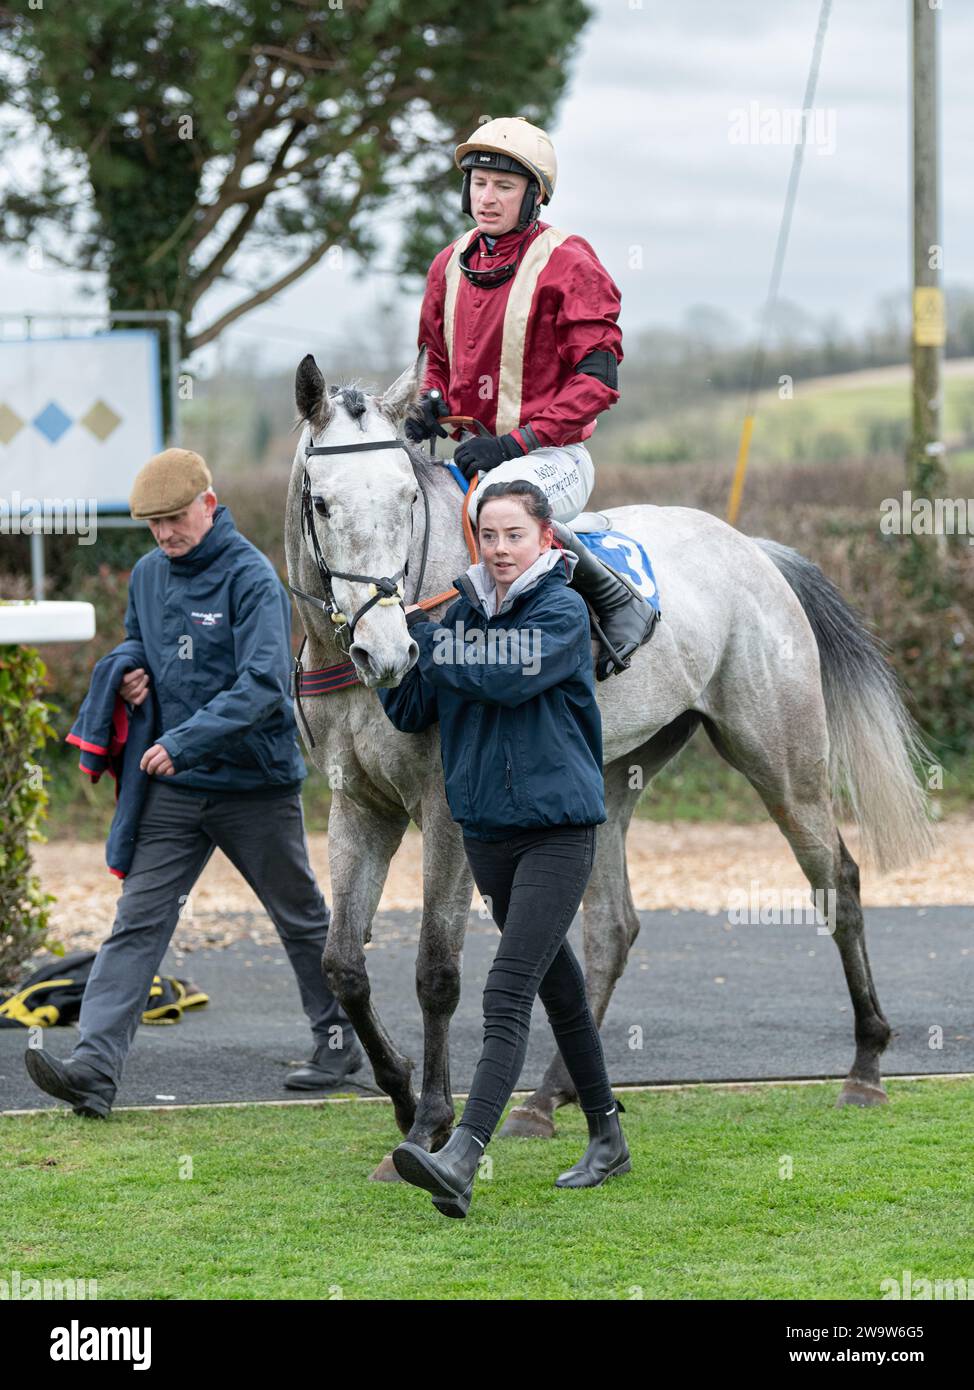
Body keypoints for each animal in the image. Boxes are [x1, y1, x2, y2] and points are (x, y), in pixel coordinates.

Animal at [283, 353, 933, 1178]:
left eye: (405, 497)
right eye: (324, 503)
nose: (389, 650)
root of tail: (752, 549)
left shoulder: (443, 811)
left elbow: (435, 971)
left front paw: (429, 1122)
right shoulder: (358, 803)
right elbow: (343, 966)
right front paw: (400, 1096)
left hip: (782, 762)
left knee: (837, 881)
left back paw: (866, 1067)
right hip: (616, 777)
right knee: (612, 928)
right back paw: (545, 1098)